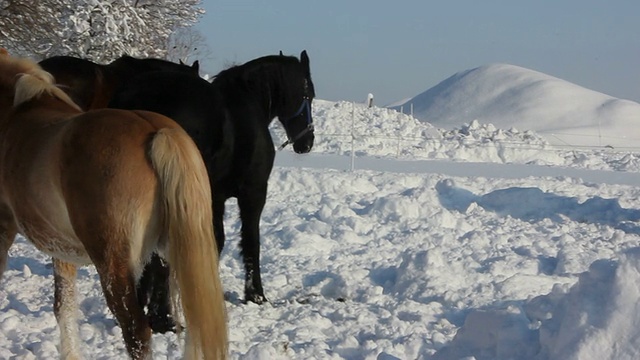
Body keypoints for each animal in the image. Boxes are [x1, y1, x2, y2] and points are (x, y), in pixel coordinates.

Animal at [109, 50, 316, 332]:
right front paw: (256, 295)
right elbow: (251, 241)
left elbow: (217, 240)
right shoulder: (252, 194)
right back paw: (163, 319)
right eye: (308, 95)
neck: (248, 105)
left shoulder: (215, 197)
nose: (307, 142)